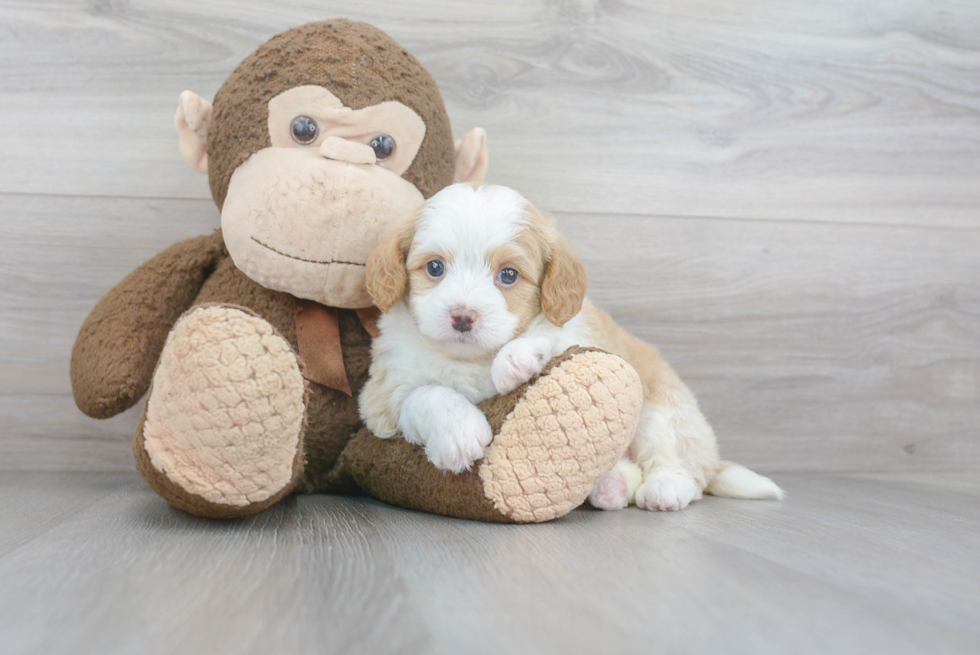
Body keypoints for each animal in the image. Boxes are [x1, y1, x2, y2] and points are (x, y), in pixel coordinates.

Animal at [360, 184, 780, 512]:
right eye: (434, 268)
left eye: (508, 275)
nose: (463, 317)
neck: (471, 359)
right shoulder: (383, 397)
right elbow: (426, 394)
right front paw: (459, 431)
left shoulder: (583, 334)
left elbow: (553, 337)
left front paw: (517, 358)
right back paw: (611, 486)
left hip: (661, 410)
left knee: (683, 467)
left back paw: (665, 488)